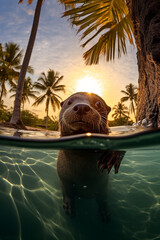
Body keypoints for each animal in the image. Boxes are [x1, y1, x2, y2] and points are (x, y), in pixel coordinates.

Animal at [57, 92, 125, 221]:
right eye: (69, 102)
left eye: (98, 103)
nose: (82, 107)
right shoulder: (64, 177)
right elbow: (67, 191)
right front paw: (69, 207)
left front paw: (111, 157)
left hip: (103, 186)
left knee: (102, 199)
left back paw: (105, 214)